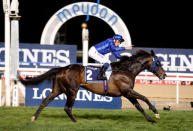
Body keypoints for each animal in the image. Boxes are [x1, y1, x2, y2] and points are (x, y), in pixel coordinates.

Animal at [18, 49, 166, 124]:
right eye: (158, 62)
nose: (164, 75)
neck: (126, 70)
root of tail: (62, 68)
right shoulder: (127, 91)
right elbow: (145, 98)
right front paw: (156, 112)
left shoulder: (127, 93)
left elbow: (139, 106)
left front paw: (152, 120)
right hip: (72, 90)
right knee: (67, 107)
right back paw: (76, 122)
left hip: (58, 89)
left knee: (45, 101)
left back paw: (34, 117)